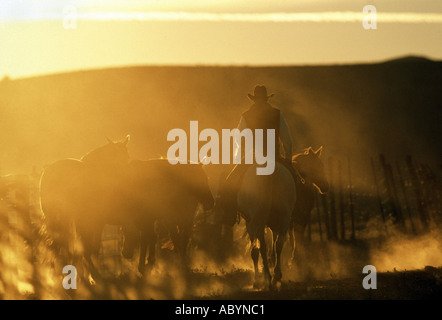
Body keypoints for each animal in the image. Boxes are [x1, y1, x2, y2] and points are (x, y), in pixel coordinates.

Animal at [39, 136, 130, 268]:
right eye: (115, 158)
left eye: (127, 157)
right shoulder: (93, 221)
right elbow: (89, 247)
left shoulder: (94, 222)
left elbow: (92, 247)